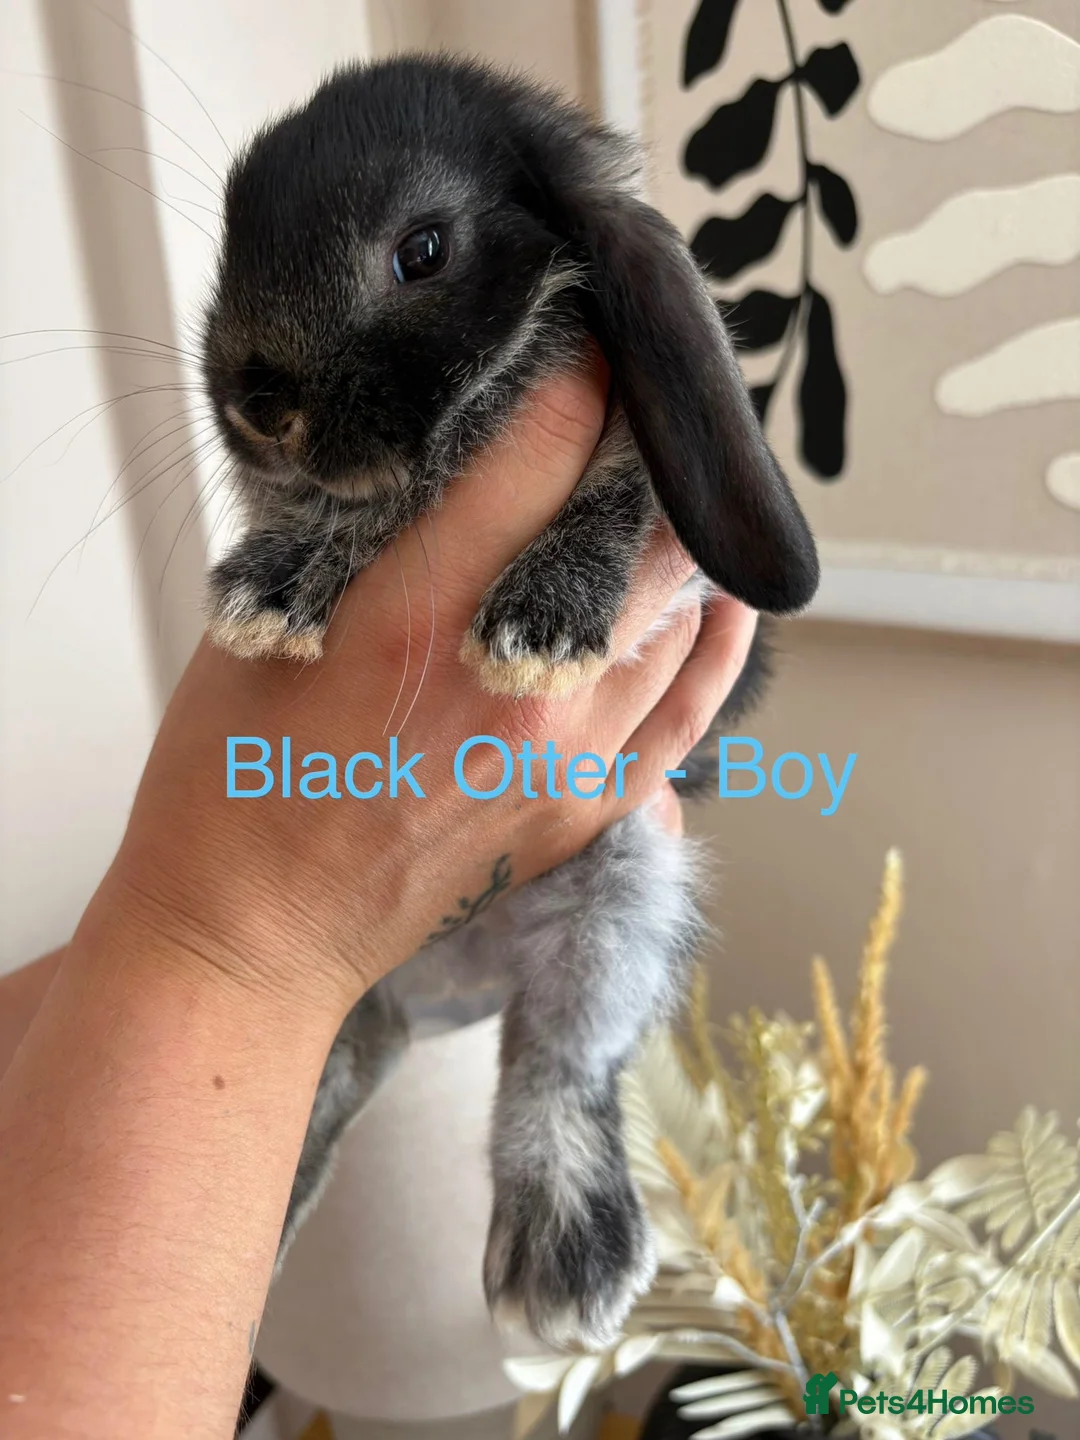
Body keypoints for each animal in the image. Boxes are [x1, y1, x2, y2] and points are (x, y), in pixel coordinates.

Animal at [201, 54, 818, 1351]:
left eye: (422, 251)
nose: (253, 403)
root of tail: (440, 989)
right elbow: (359, 509)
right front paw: (272, 584)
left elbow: (619, 481)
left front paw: (537, 629)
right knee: (338, 1079)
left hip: (624, 889)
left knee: (558, 1068)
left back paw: (568, 1260)